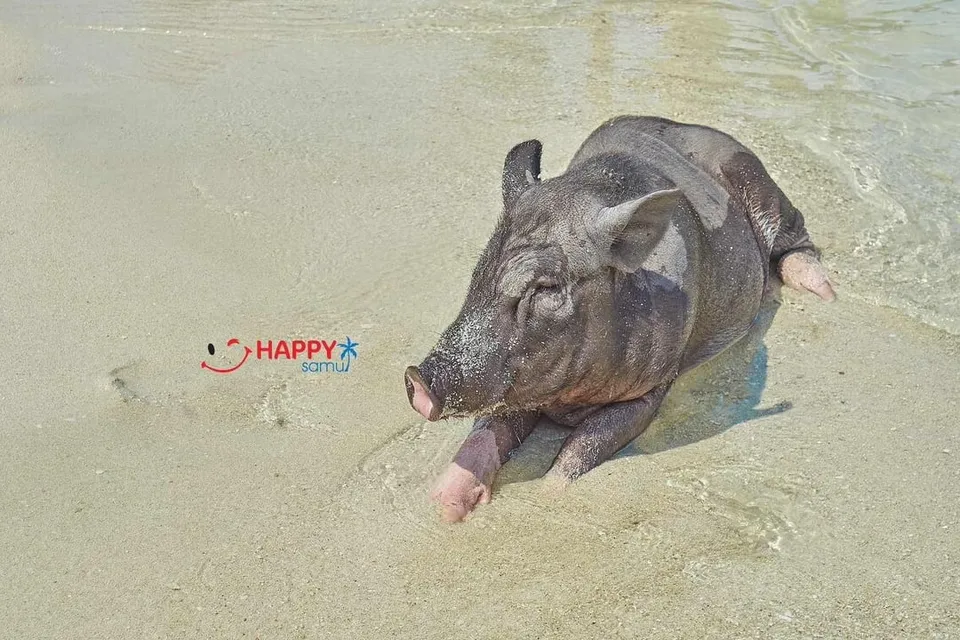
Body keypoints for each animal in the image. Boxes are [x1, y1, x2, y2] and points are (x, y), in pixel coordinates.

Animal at [404, 115, 835, 522]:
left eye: (545, 287)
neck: (568, 398)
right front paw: (444, 508)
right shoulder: (516, 380)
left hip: (757, 180)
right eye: (480, 273)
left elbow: (581, 449)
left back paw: (824, 292)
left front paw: (546, 496)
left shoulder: (651, 388)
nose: (417, 377)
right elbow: (487, 429)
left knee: (795, 236)